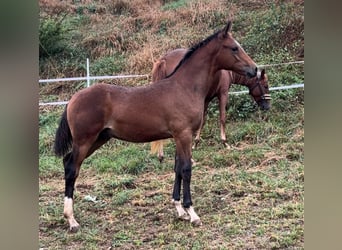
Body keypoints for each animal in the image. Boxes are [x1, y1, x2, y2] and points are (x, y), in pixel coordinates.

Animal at [54, 20, 256, 231]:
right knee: (72, 168)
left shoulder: (178, 137)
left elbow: (177, 168)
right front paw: (191, 212)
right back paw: (71, 219)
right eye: (234, 47)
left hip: (99, 138)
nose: (254, 69)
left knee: (68, 162)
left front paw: (180, 210)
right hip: (85, 140)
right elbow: (186, 169)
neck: (183, 87)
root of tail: (73, 98)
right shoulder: (184, 135)